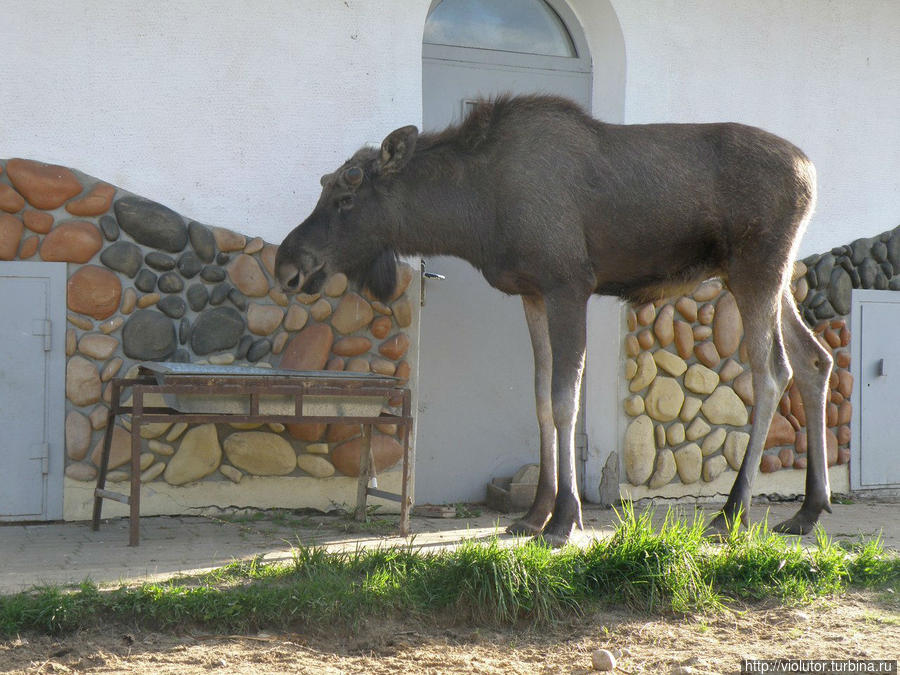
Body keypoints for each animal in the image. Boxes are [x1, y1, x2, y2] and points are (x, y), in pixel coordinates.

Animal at [274, 95, 828, 548]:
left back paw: (732, 513)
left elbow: (566, 399)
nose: (287, 265)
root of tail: (812, 172)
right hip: (762, 276)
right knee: (814, 359)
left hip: (756, 269)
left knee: (772, 372)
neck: (475, 215)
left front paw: (564, 519)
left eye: (346, 198)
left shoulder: (569, 284)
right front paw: (534, 513)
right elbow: (540, 397)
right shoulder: (533, 292)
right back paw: (807, 511)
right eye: (324, 191)